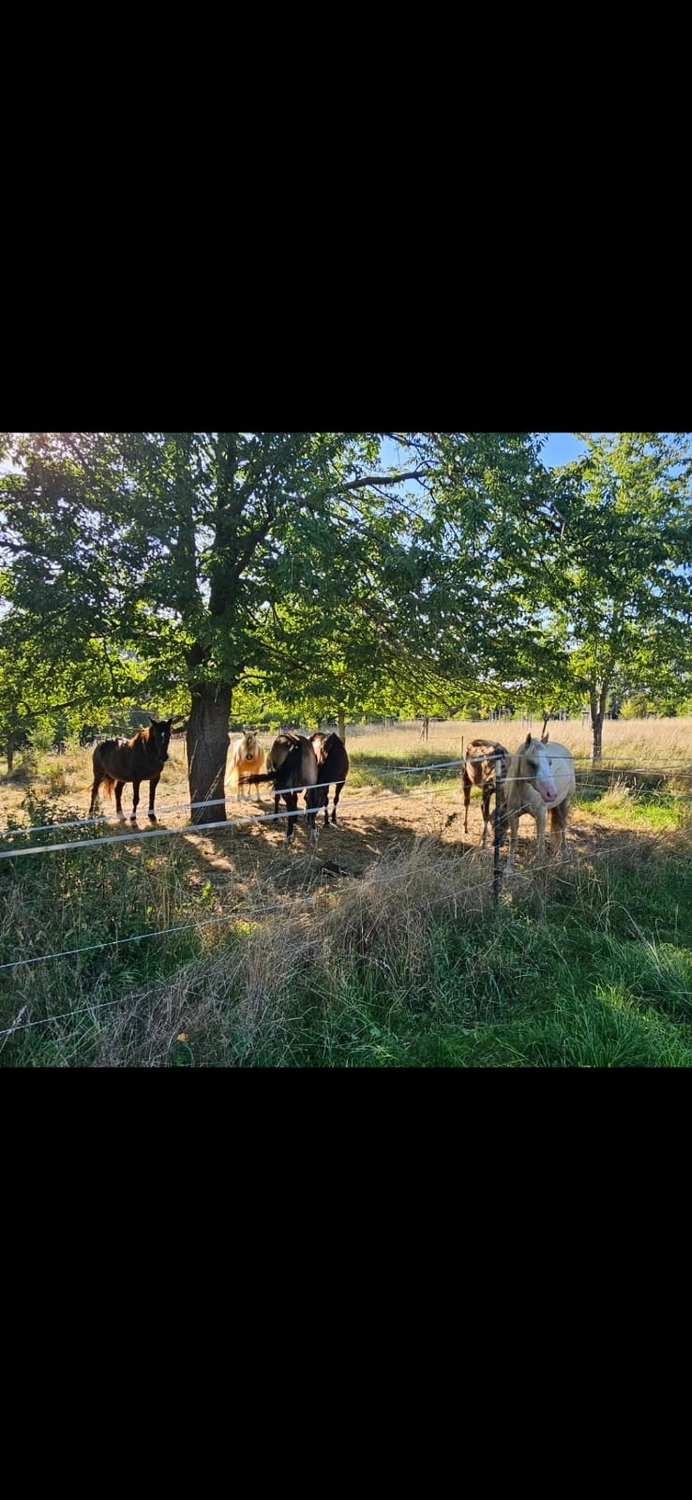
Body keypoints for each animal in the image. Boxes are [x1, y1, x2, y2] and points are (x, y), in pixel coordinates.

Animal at [504, 732, 576, 873]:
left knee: (563, 829)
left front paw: (541, 866)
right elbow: (513, 839)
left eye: (550, 762)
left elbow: (540, 839)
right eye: (531, 763)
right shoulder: (513, 814)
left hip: (565, 803)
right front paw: (509, 869)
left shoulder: (541, 814)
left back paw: (565, 855)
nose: (551, 794)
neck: (523, 790)